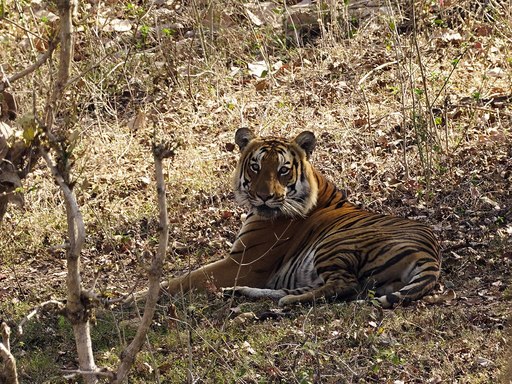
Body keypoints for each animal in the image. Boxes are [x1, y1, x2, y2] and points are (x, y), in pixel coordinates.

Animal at [166, 129, 442, 308]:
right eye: (256, 167)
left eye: (283, 170)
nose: (264, 196)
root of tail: (430, 252)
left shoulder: (242, 263)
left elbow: (185, 279)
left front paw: (154, 293)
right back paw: (241, 293)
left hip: (334, 244)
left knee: (345, 285)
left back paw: (286, 300)